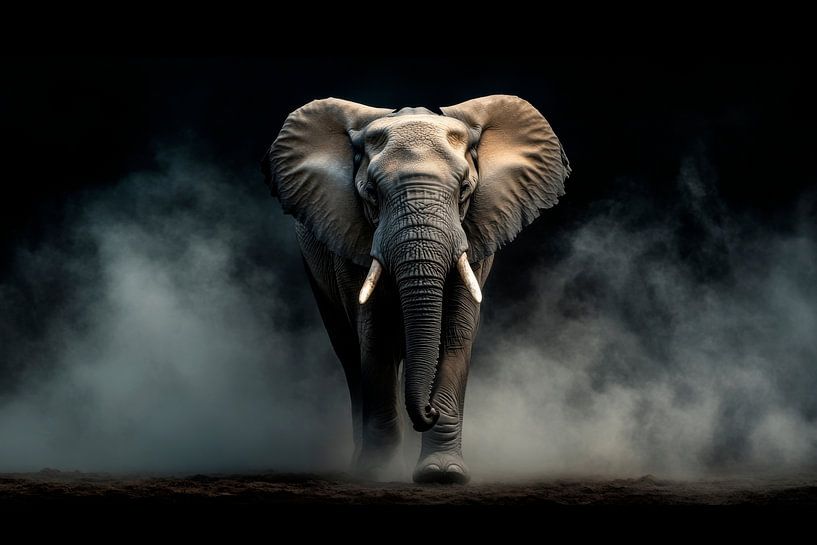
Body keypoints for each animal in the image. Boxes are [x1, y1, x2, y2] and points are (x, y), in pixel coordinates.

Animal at [262, 95, 570, 483]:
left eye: (464, 190)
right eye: (371, 194)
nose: (428, 412)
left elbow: (456, 334)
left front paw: (443, 474)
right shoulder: (349, 233)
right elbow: (374, 336)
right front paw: (377, 473)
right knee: (348, 351)